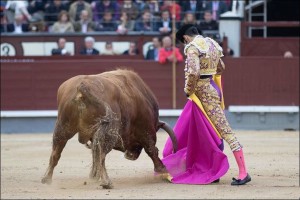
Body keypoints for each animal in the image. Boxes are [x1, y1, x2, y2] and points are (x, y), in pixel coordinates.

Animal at [40, 69, 177, 189]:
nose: (131, 155)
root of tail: (82, 88)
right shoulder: (146, 128)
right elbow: (151, 149)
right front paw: (162, 170)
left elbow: (94, 154)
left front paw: (93, 176)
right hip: (109, 132)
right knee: (101, 153)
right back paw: (106, 182)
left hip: (62, 126)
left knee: (56, 152)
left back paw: (46, 179)